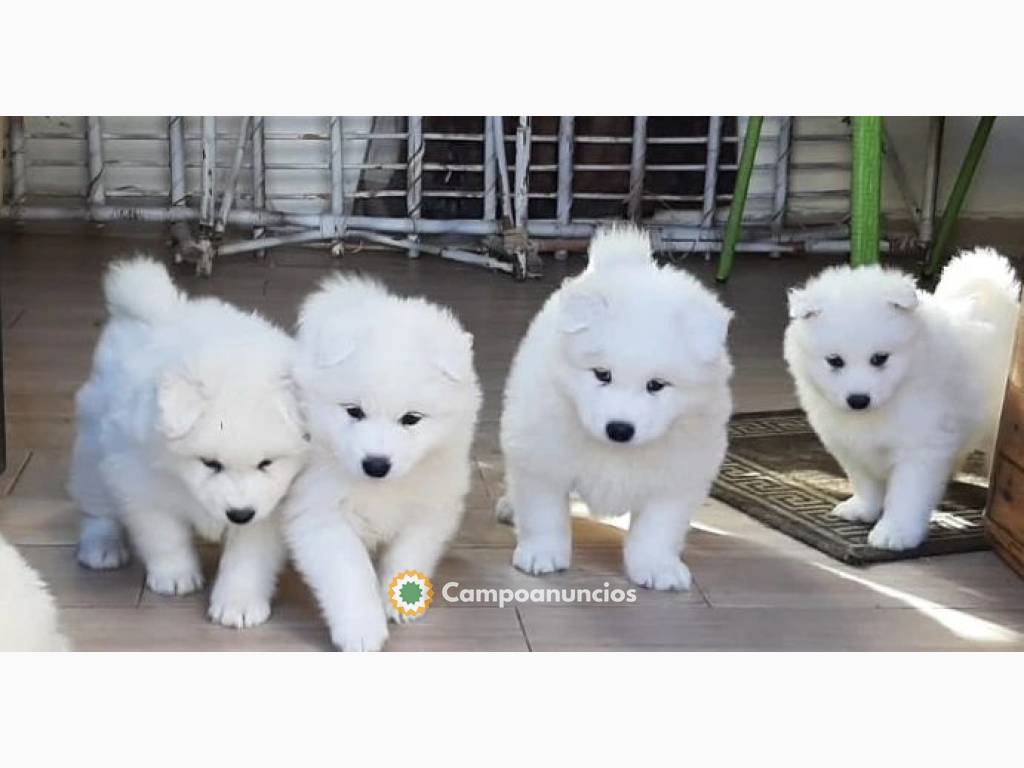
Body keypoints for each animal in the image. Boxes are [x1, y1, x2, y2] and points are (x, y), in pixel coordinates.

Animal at [69, 256, 307, 626]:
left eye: (266, 463)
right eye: (210, 463)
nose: (239, 514)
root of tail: (155, 309)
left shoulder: (272, 504)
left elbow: (249, 555)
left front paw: (238, 603)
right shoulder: (139, 480)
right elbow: (164, 534)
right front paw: (175, 576)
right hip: (94, 445)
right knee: (97, 504)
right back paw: (102, 547)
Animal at [286, 276, 481, 651]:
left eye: (411, 419)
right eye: (354, 411)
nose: (376, 465)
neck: (381, 487)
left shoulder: (431, 507)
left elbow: (408, 553)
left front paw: (400, 599)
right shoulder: (320, 511)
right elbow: (349, 572)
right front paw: (361, 631)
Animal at [497, 225, 733, 593]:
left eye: (656, 385)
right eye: (602, 374)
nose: (619, 429)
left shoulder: (678, 475)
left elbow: (657, 528)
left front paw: (657, 567)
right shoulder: (544, 459)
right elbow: (544, 512)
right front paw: (542, 554)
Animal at [782, 249, 1015, 548]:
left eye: (880, 358)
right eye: (835, 361)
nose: (858, 400)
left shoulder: (920, 447)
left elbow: (908, 494)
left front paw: (895, 532)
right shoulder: (850, 444)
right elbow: (865, 482)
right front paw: (863, 509)